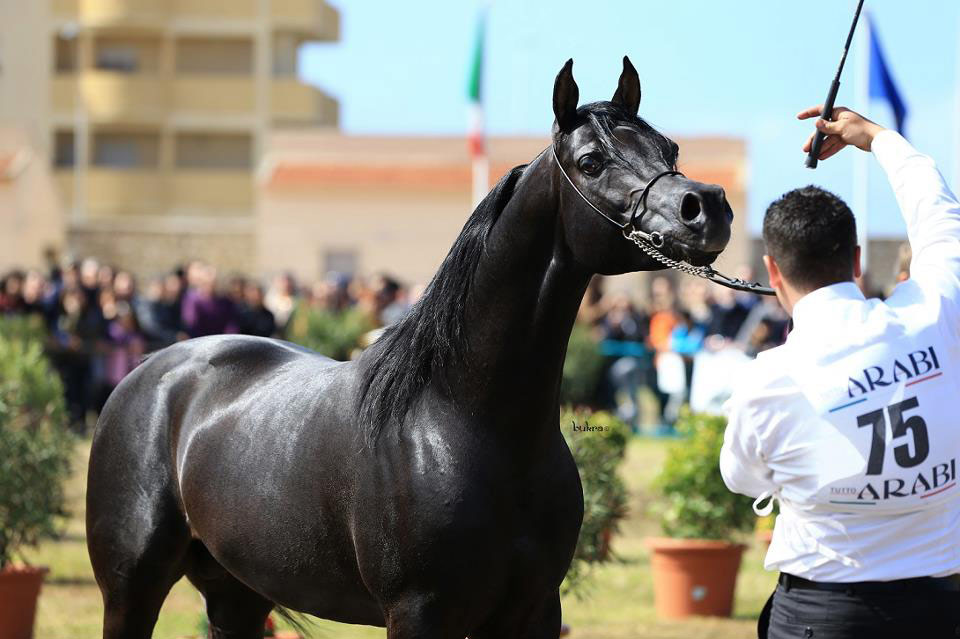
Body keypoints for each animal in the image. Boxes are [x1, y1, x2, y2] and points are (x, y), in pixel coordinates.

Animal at [88, 57, 728, 636]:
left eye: (669, 149)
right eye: (591, 161)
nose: (708, 207)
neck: (465, 419)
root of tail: (149, 370)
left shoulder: (536, 611)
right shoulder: (420, 613)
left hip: (237, 593)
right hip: (131, 590)